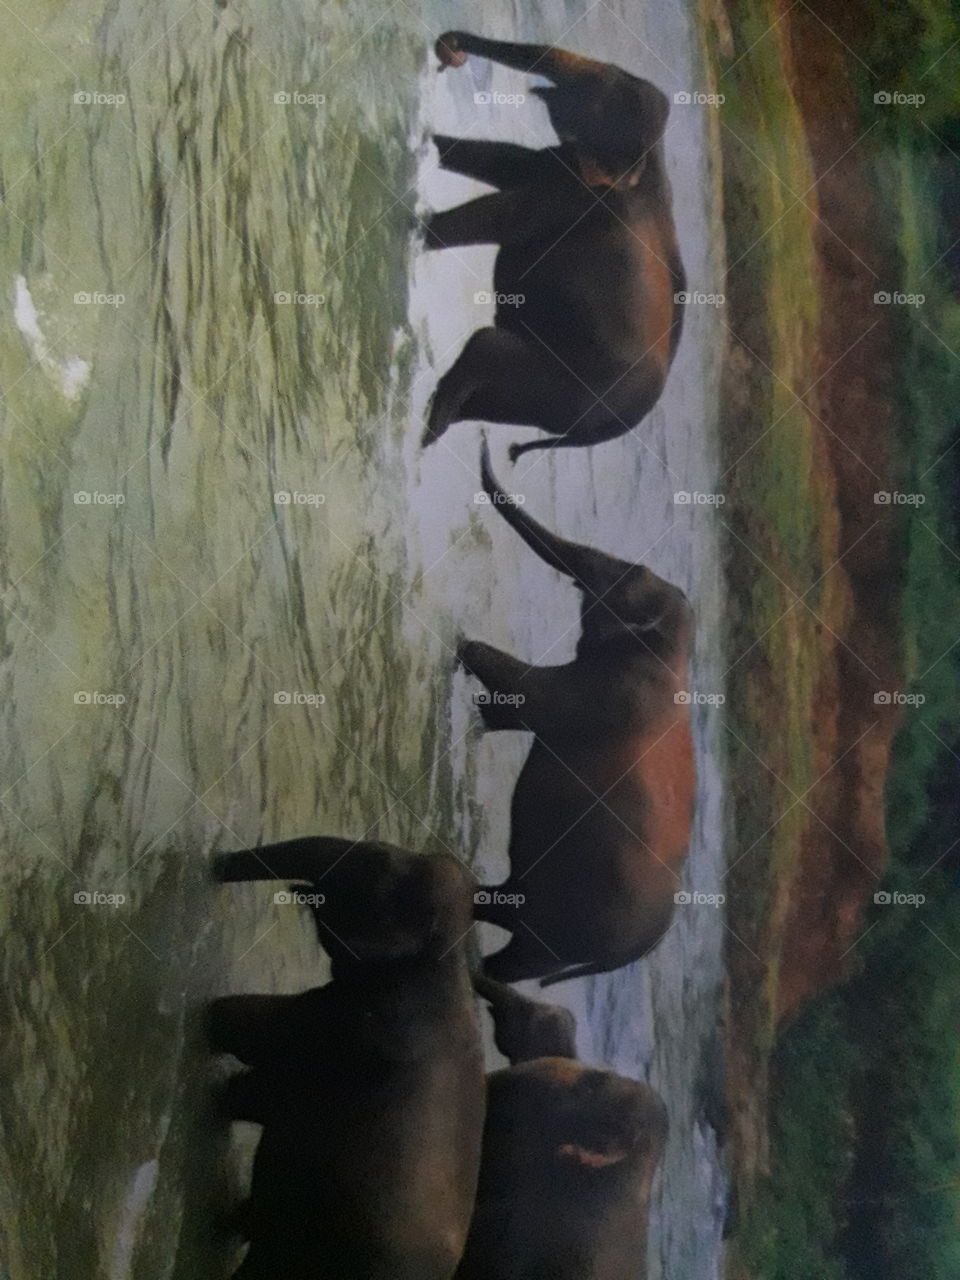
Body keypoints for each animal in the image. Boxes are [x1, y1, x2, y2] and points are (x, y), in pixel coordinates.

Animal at [422, 31, 685, 461]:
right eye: (617, 80)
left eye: (601, 105)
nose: (450, 48)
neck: (651, 164)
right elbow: (497, 161)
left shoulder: (580, 200)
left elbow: (503, 214)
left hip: (565, 384)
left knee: (488, 346)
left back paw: (431, 426)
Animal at [465, 441, 696, 984]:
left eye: (620, 577)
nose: (489, 446)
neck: (673, 654)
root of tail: (629, 954)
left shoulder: (612, 695)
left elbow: (531, 694)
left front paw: (464, 651)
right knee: (508, 916)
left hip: (580, 923)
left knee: (518, 952)